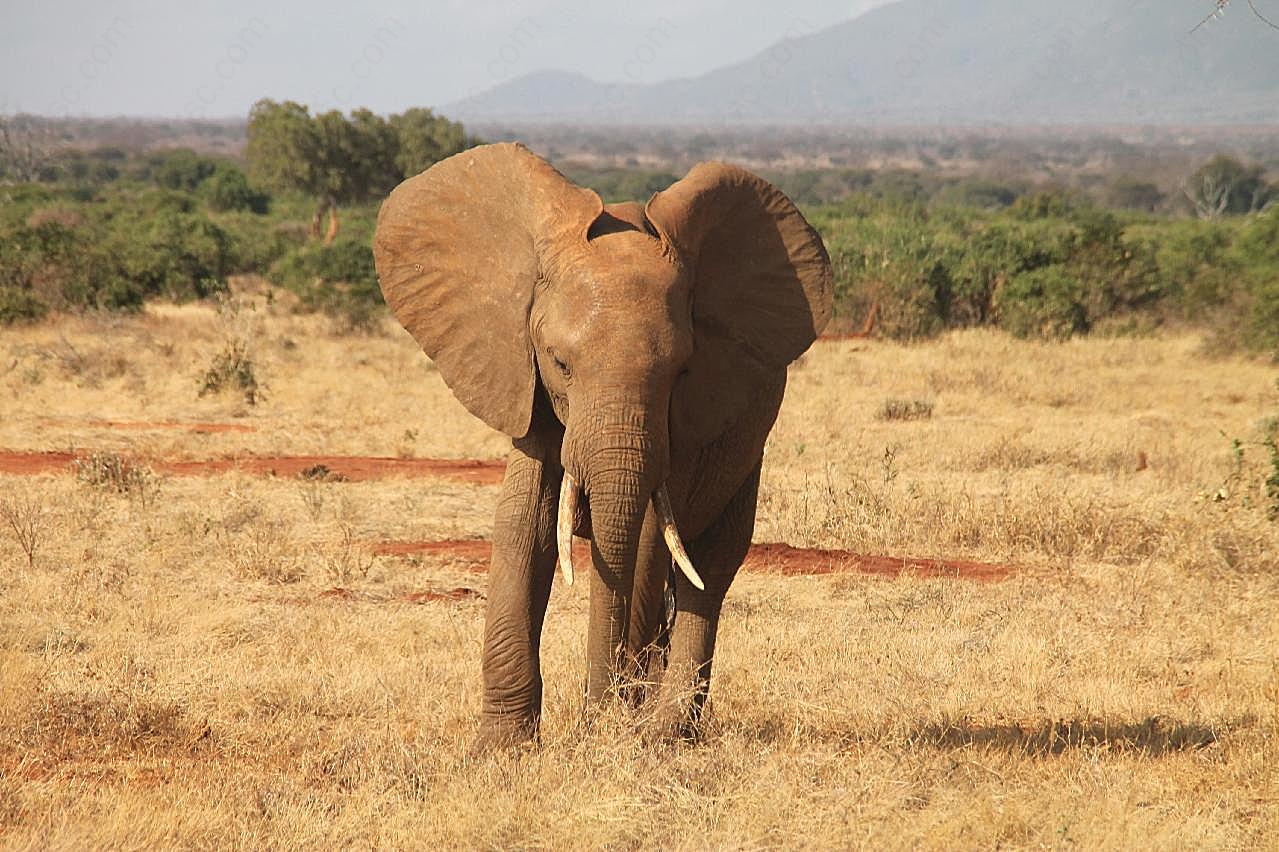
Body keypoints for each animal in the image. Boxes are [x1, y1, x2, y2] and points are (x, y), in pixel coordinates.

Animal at [373, 142, 828, 747]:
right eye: (560, 363)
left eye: (681, 372)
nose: (600, 713)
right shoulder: (527, 384)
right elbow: (524, 523)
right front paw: (502, 747)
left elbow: (645, 542)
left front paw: (613, 729)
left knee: (709, 565)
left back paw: (665, 730)